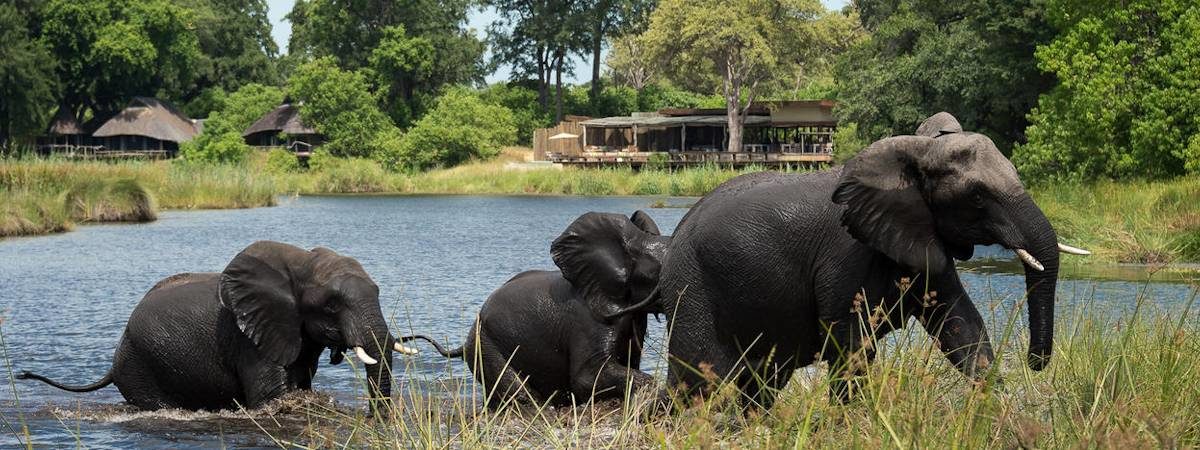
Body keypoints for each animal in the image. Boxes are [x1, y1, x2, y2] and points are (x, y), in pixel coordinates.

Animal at [12, 241, 417, 415]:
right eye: (332, 305)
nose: (375, 417)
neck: (300, 262)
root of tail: (112, 364)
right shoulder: (247, 339)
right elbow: (270, 398)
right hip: (140, 366)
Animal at [405, 211, 672, 408]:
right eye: (659, 274)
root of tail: (463, 342)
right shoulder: (589, 319)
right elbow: (587, 378)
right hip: (486, 346)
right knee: (518, 393)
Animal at [657, 112, 1089, 408]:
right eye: (978, 196)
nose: (1034, 363)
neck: (915, 151)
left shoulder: (921, 236)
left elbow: (961, 325)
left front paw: (994, 409)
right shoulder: (845, 252)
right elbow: (851, 341)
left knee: (760, 382)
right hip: (691, 288)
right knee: (697, 382)